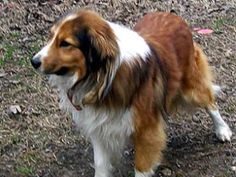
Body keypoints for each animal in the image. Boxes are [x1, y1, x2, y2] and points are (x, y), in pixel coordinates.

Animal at [30, 9, 231, 177]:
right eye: (51, 37)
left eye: (65, 43)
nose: (34, 61)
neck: (102, 75)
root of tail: (172, 15)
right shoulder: (99, 127)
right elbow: (101, 165)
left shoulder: (146, 131)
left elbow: (141, 168)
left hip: (191, 88)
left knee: (210, 103)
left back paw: (222, 130)